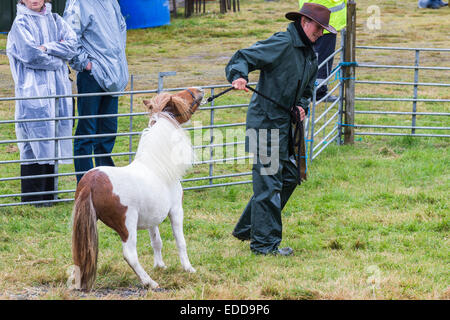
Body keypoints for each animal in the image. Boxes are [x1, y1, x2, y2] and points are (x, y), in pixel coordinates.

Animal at [68, 87, 204, 290]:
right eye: (181, 97)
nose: (200, 90)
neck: (156, 167)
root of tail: (90, 182)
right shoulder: (176, 211)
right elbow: (181, 242)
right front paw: (188, 268)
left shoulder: (152, 218)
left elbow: (157, 241)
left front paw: (160, 265)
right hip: (127, 225)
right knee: (130, 254)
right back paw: (150, 282)